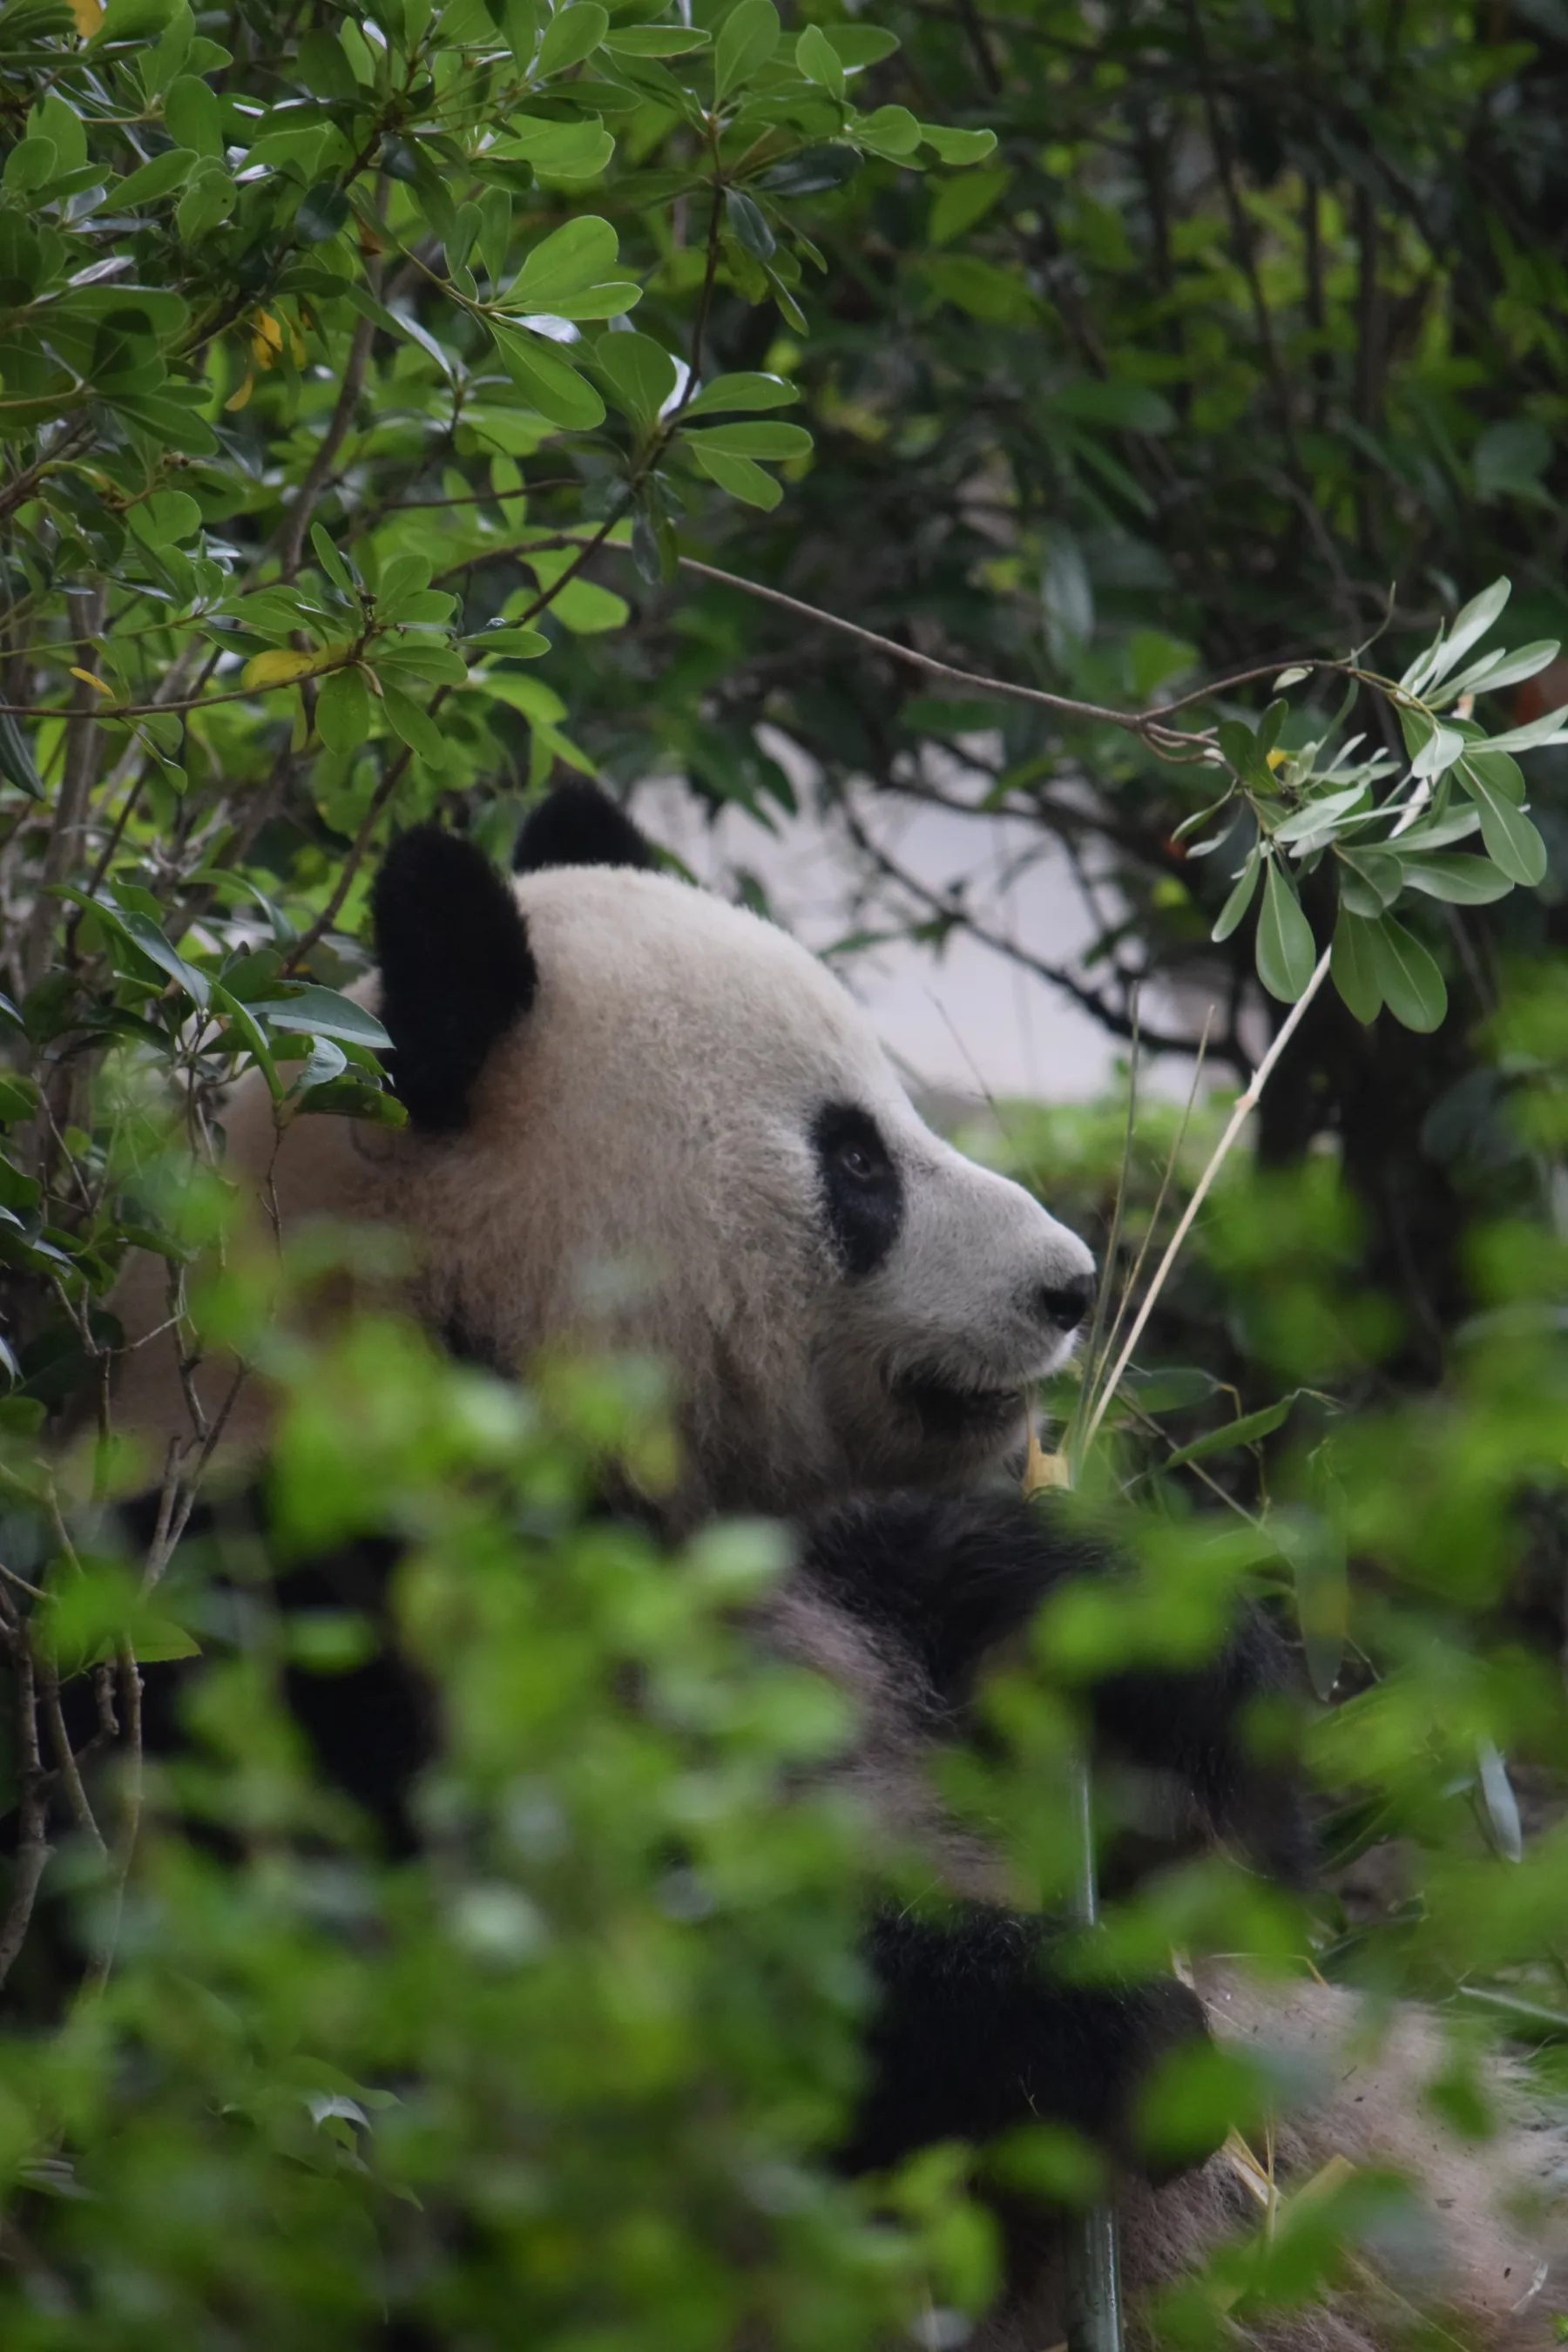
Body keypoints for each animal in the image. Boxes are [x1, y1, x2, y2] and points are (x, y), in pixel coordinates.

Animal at [107, 781, 1564, 2352]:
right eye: (856, 1158)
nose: (1069, 1285)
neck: (430, 1333)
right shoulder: (284, 1612)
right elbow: (509, 2002)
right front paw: (1088, 2029)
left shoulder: (796, 1546)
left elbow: (1229, 1860)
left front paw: (1149, 1652)